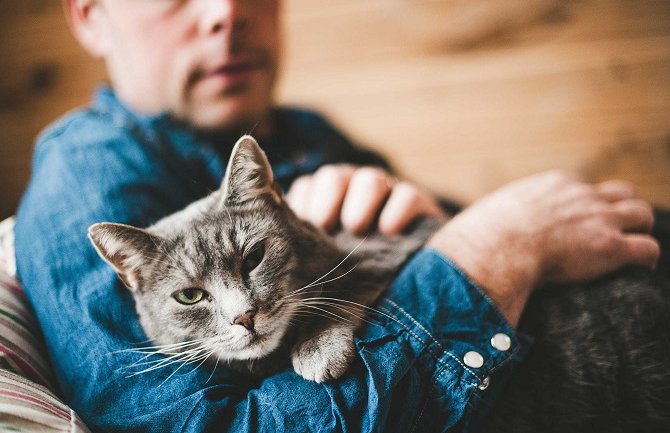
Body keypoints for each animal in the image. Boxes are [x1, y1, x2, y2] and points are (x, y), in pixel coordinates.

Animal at [86, 135, 440, 382]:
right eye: (189, 296)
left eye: (254, 257)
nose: (243, 317)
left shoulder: (377, 252)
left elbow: (343, 293)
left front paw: (318, 348)